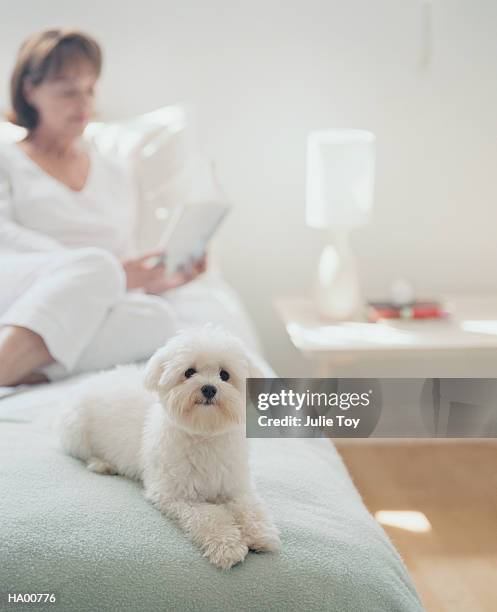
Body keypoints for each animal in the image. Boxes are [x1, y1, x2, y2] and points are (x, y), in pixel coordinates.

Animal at [59, 326, 280, 568]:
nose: (209, 389)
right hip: (76, 429)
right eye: (189, 372)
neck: (204, 434)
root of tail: (93, 379)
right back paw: (102, 464)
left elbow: (250, 507)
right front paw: (227, 545)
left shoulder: (235, 486)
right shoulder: (176, 495)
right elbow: (210, 515)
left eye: (224, 375)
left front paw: (260, 533)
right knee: (83, 452)